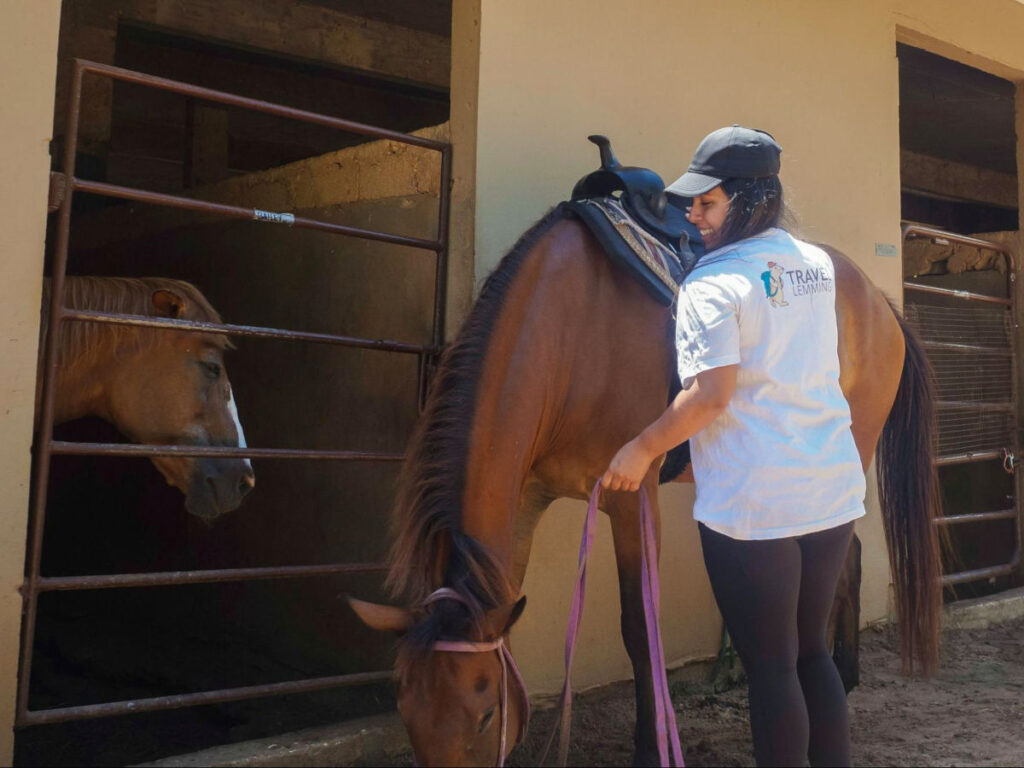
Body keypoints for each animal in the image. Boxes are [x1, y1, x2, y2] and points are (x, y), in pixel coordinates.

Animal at [349, 206, 941, 766]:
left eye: (485, 714)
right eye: (406, 712)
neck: (571, 333)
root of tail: (881, 303)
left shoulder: (631, 497)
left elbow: (640, 628)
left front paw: (650, 749)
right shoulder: (526, 499)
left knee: (845, 561)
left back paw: (844, 676)